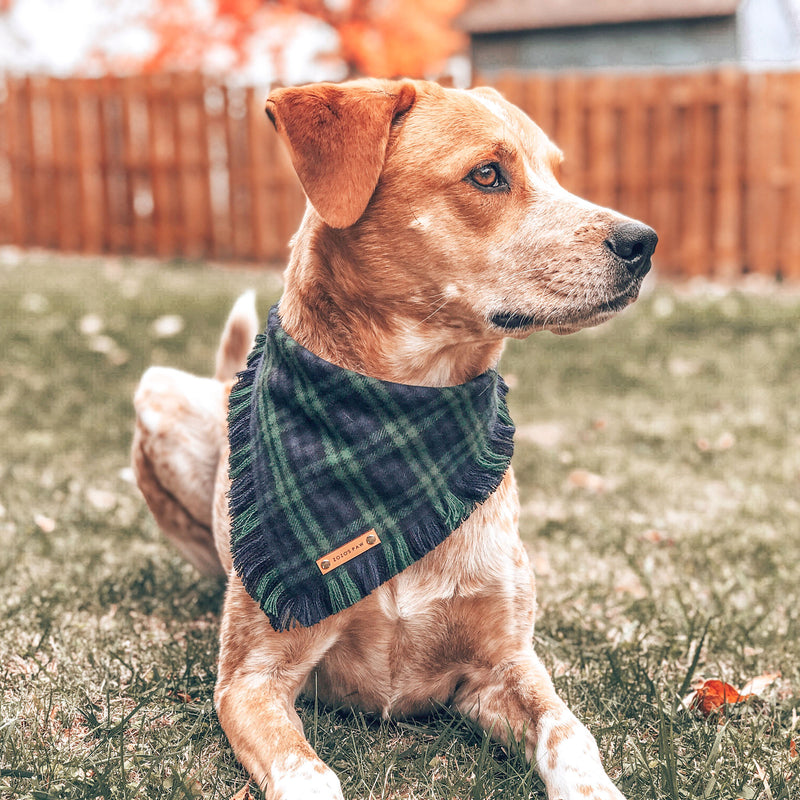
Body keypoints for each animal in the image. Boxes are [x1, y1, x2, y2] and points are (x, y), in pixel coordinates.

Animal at [131, 76, 656, 800]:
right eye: (487, 174)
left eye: (555, 169)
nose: (645, 242)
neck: (403, 422)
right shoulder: (252, 680)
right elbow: (309, 776)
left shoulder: (503, 666)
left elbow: (570, 737)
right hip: (157, 393)